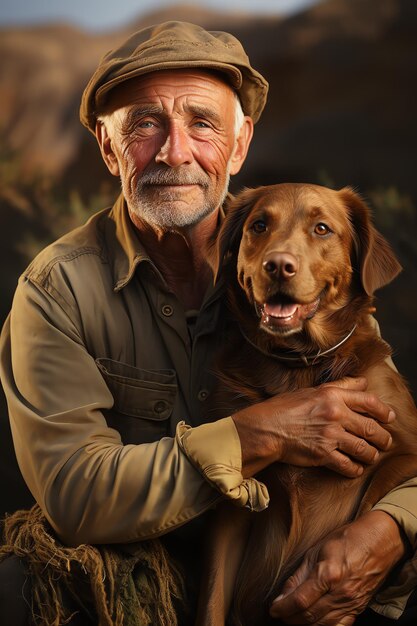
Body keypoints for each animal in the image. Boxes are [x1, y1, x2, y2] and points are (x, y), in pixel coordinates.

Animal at [197, 183, 416, 624]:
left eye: (322, 228)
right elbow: (212, 599)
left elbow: (377, 491)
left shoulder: (405, 442)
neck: (300, 365)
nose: (279, 266)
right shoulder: (233, 505)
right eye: (259, 225)